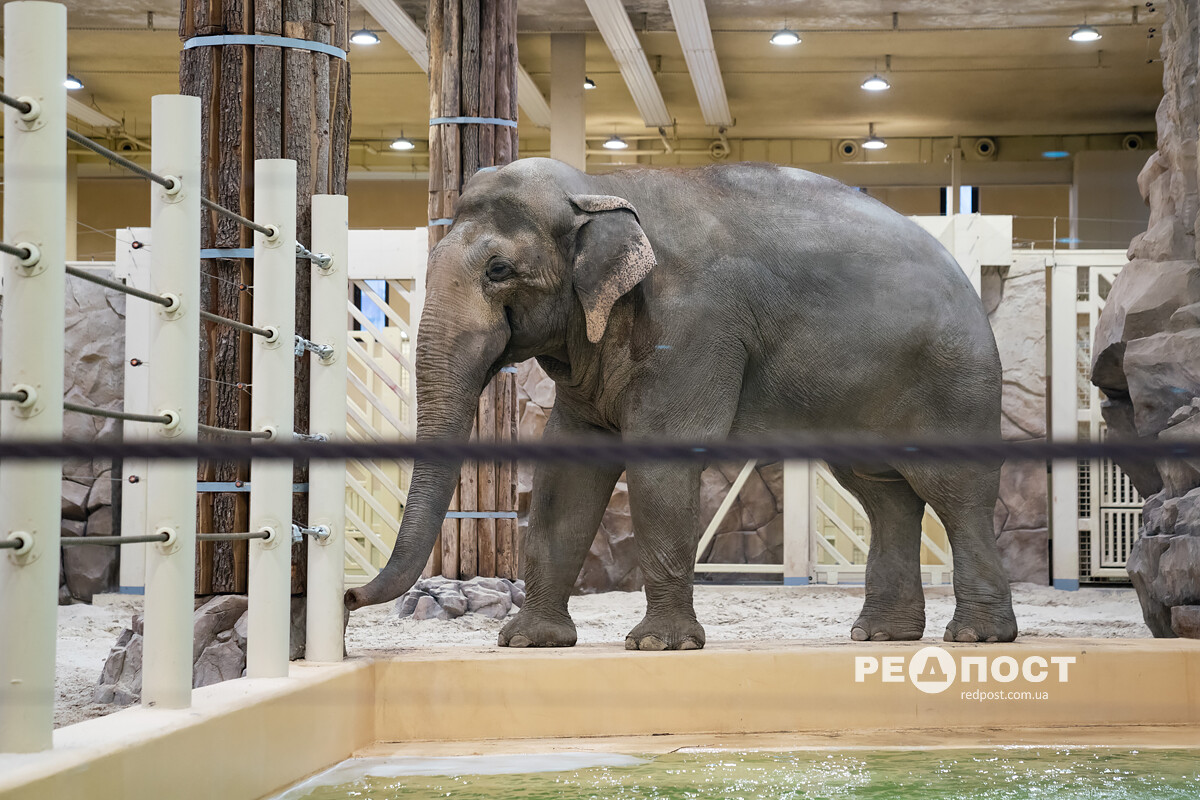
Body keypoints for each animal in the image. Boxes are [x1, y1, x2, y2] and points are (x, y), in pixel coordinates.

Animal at [343, 158, 1017, 652]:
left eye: (500, 270)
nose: (346, 601)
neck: (600, 189)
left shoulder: (692, 328)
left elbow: (659, 467)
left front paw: (657, 646)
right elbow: (566, 478)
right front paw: (529, 642)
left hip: (953, 378)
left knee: (955, 491)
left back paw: (977, 636)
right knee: (884, 494)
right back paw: (882, 636)